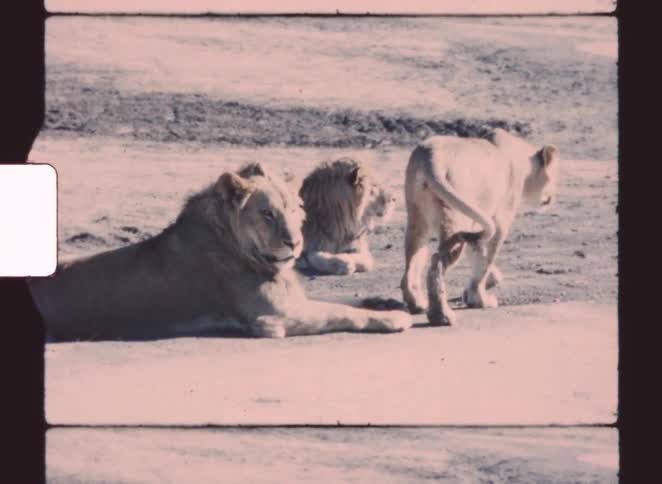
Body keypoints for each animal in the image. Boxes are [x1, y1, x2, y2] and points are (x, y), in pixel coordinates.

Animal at [28, 162, 412, 341]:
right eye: (267, 213)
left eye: (293, 209)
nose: (295, 243)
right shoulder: (273, 319)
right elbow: (342, 312)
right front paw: (394, 319)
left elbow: (342, 303)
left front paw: (387, 303)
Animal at [400, 128, 559, 325]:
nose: (553, 197)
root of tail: (431, 157)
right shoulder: (500, 220)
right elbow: (485, 260)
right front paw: (479, 299)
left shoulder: (477, 222)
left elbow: (476, 252)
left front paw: (486, 283)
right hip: (454, 219)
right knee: (437, 261)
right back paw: (441, 315)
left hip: (418, 219)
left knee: (413, 259)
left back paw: (417, 303)